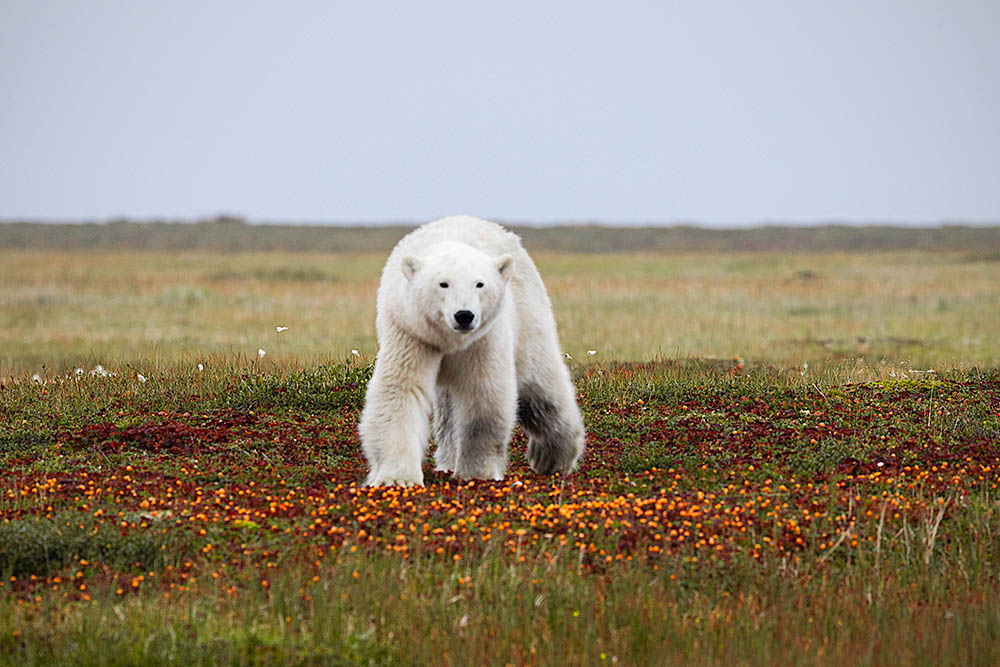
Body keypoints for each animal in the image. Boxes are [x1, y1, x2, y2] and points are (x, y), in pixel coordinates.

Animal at [360, 217, 584, 488]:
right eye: (443, 283)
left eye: (480, 284)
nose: (464, 315)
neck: (450, 341)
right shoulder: (411, 331)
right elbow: (401, 390)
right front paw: (397, 478)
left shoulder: (484, 339)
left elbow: (483, 393)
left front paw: (477, 472)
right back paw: (447, 460)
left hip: (528, 315)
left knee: (540, 390)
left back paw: (551, 457)